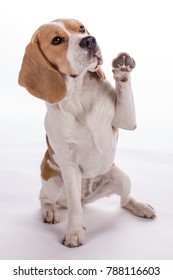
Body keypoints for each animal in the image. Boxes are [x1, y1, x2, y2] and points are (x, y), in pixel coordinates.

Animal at [18, 18, 156, 247]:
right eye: (57, 40)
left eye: (81, 28)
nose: (90, 40)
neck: (78, 94)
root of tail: (87, 198)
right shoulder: (69, 164)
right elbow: (74, 208)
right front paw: (74, 231)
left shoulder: (126, 121)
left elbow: (124, 93)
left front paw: (122, 70)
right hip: (54, 183)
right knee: (46, 199)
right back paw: (50, 211)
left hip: (122, 178)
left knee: (125, 200)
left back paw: (141, 206)